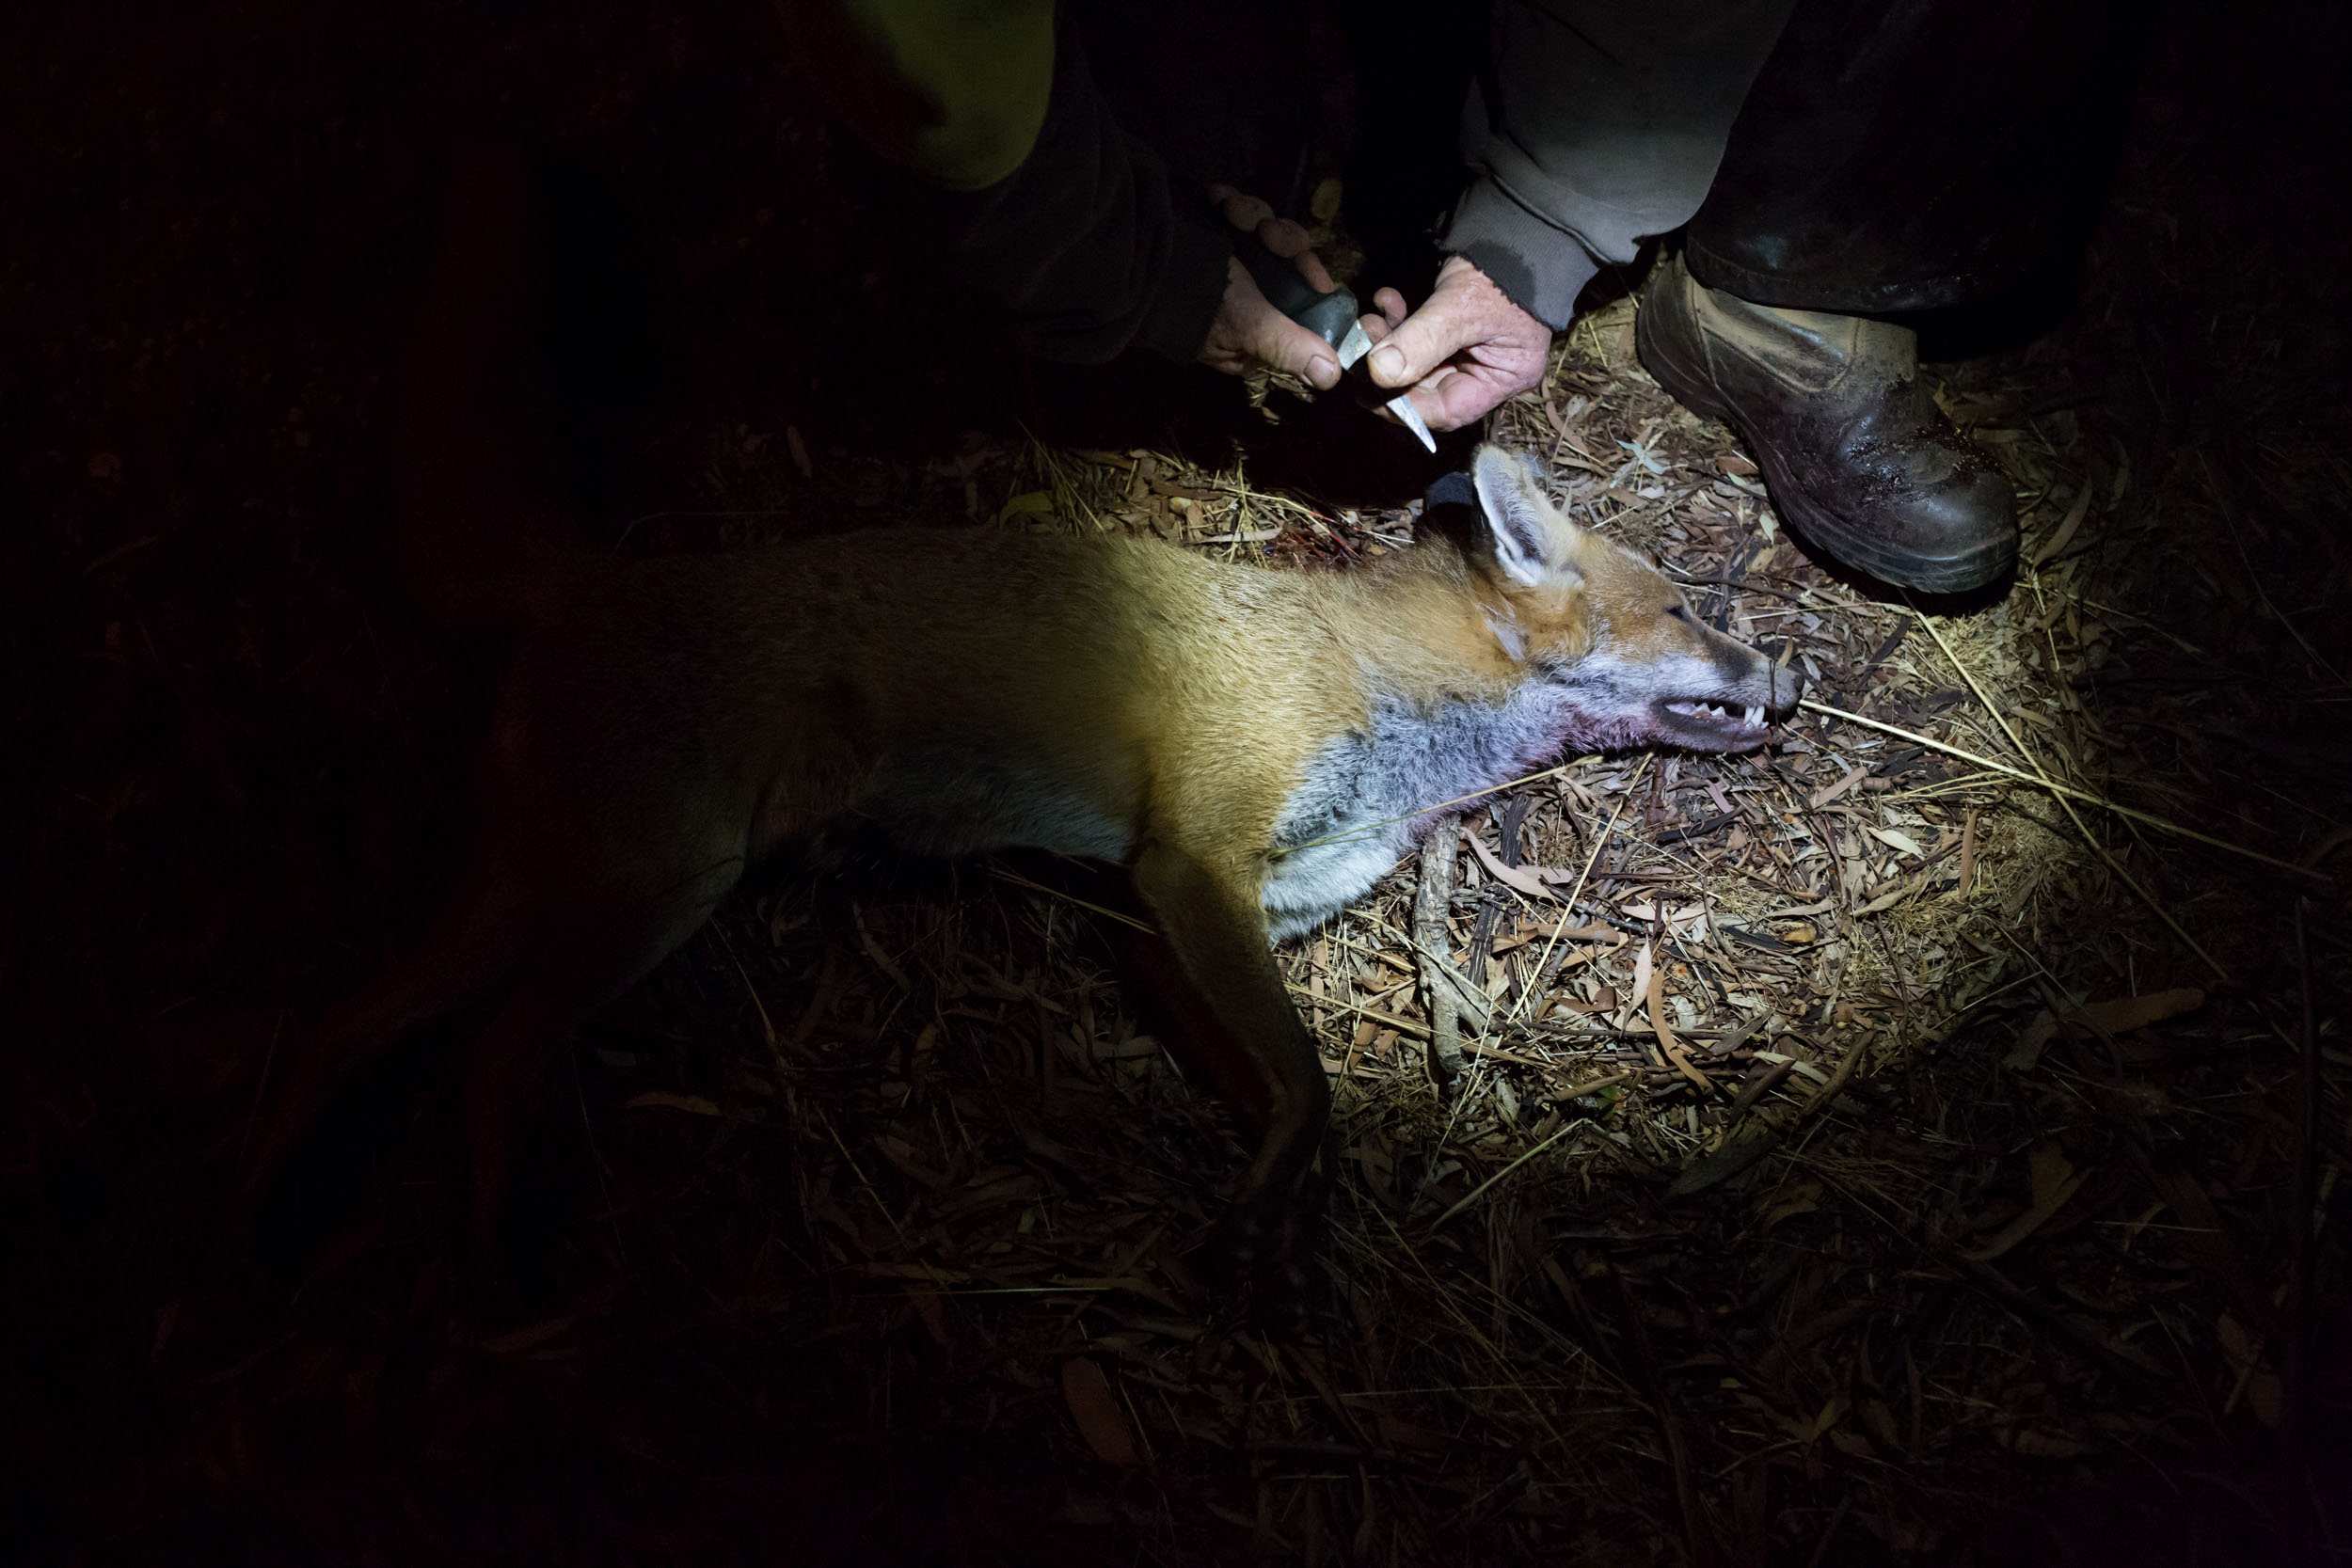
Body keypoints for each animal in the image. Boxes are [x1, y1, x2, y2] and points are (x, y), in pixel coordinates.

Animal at [250, 153, 1804, 1291]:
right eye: (1685, 609)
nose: (1787, 679)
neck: (1375, 698)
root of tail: (607, 574)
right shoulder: (1190, 857)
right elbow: (1309, 1084)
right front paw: (1269, 1209)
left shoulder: (1196, 907)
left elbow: (1277, 1079)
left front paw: (1271, 1198)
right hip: (653, 890)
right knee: (488, 1053)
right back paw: (491, 1252)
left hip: (547, 887)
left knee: (339, 1026)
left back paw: (279, 1202)